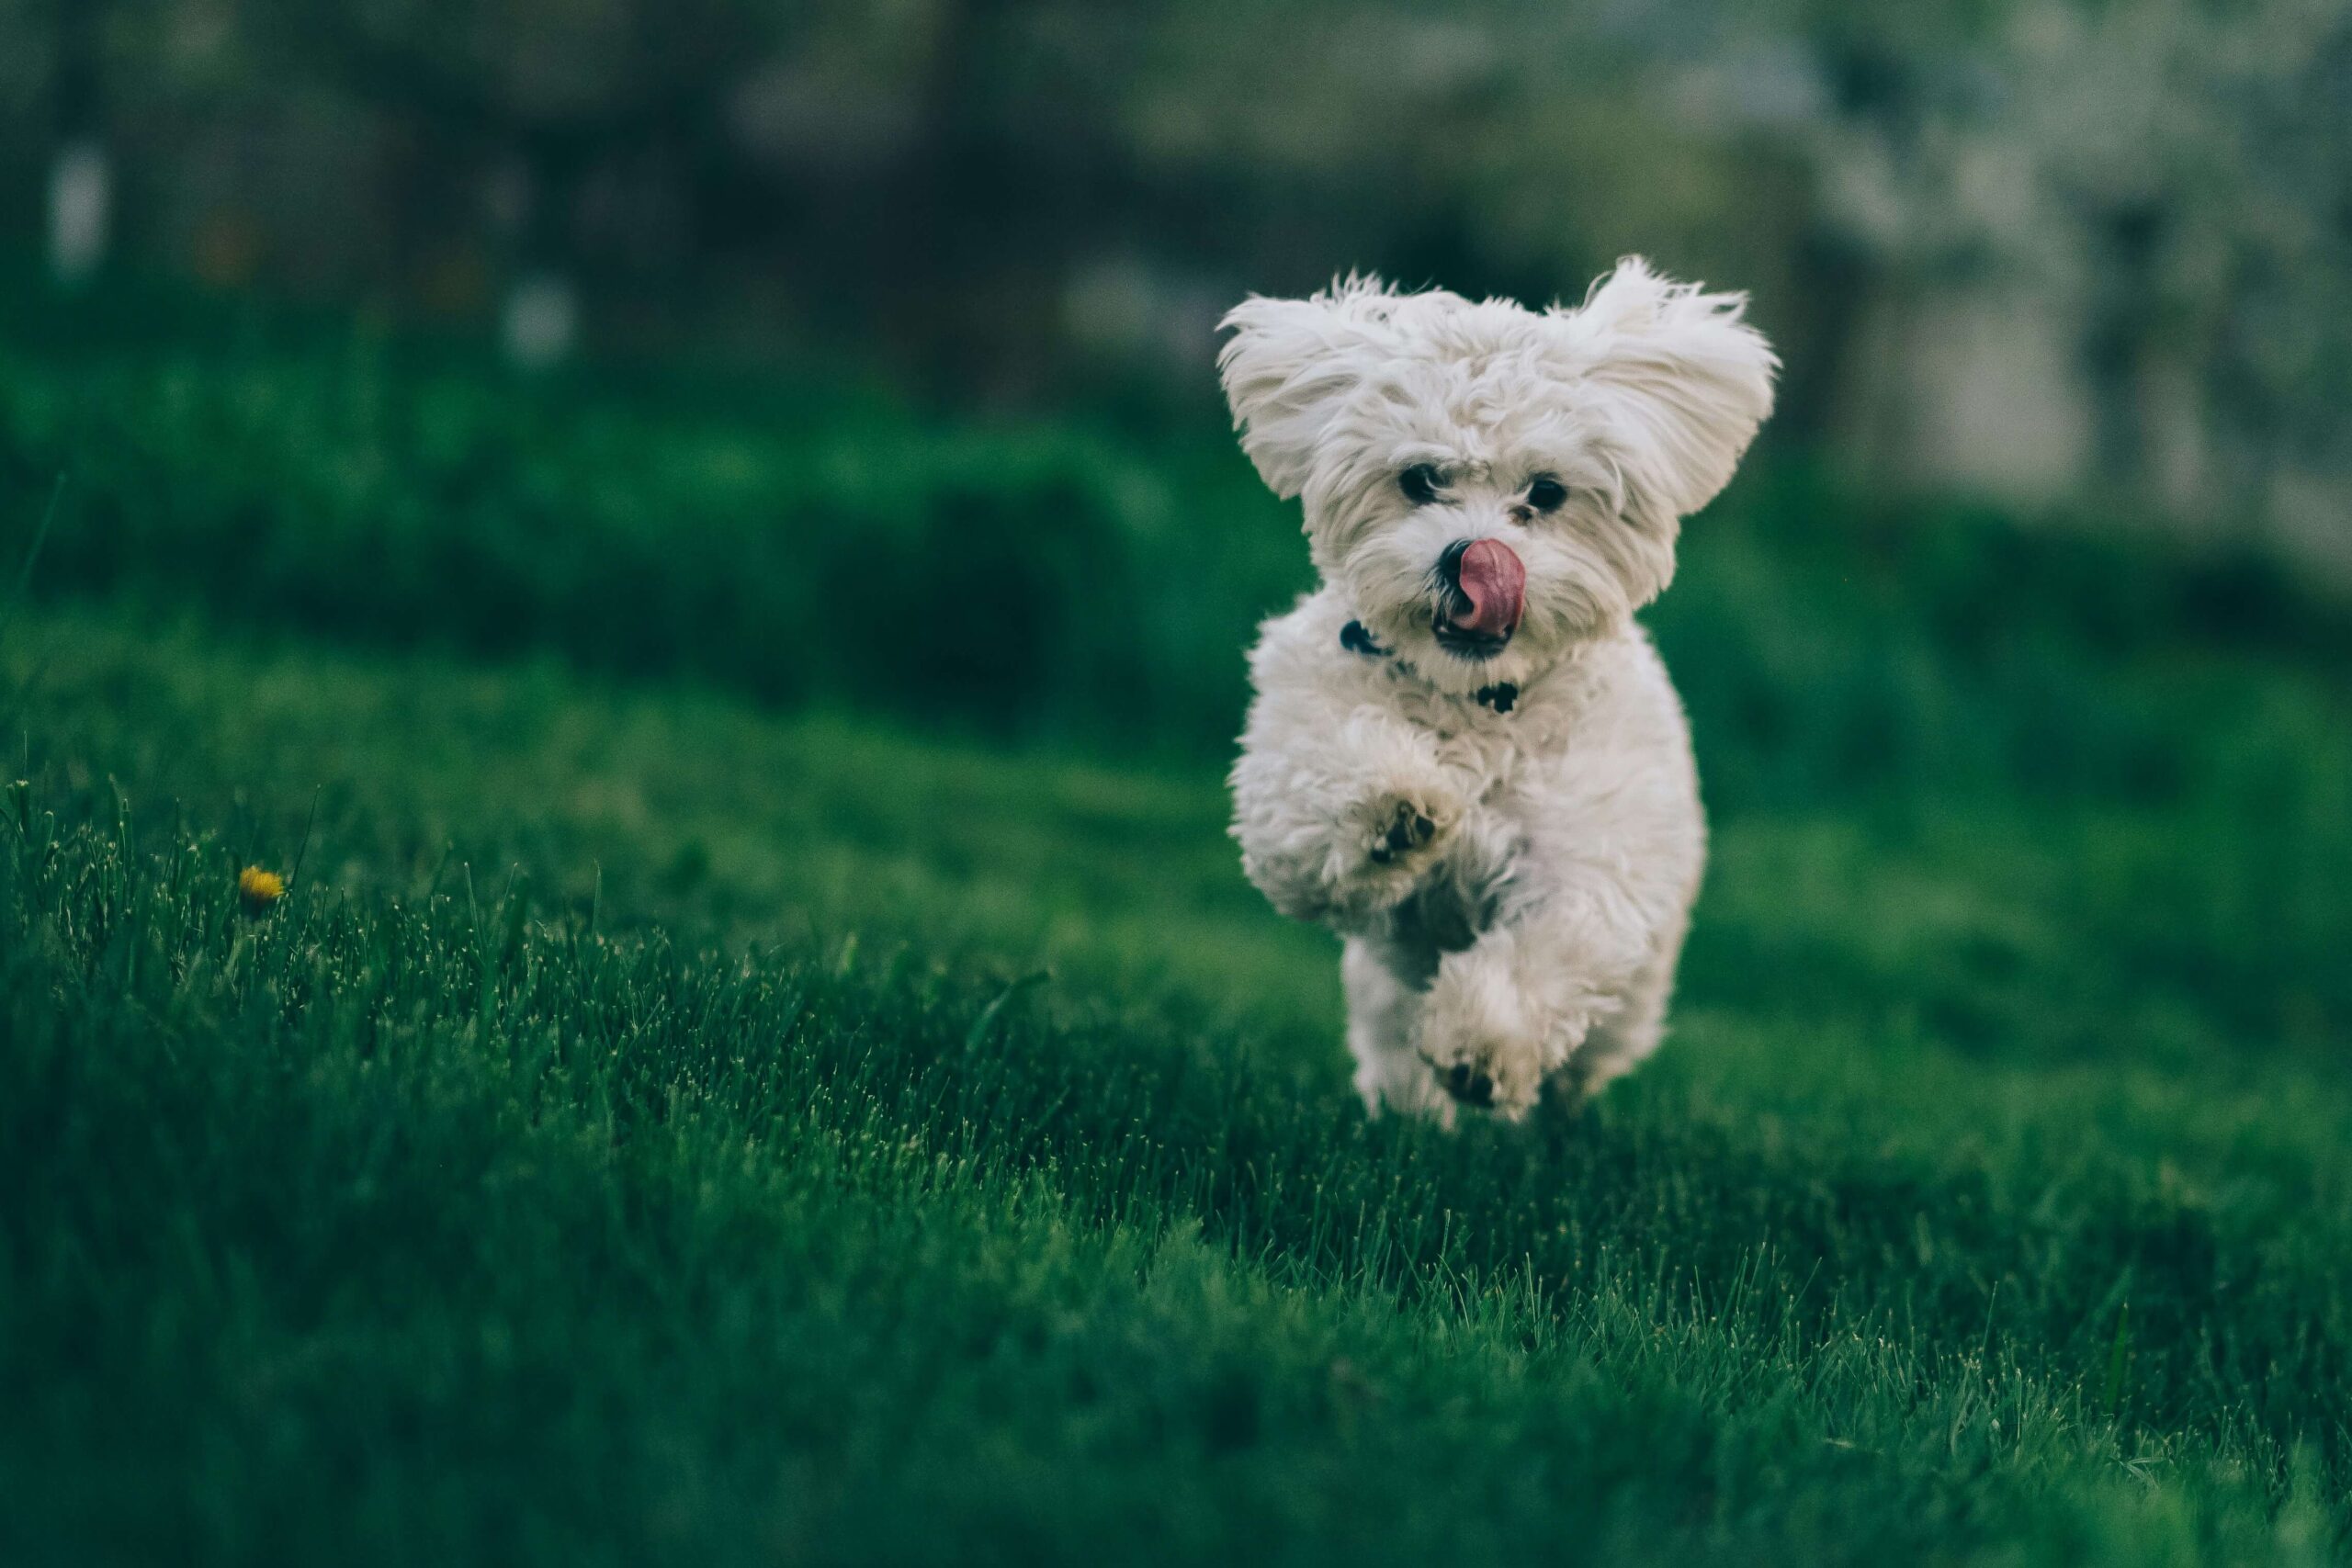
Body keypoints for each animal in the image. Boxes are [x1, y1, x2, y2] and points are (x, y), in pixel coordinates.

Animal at [1223, 257, 1769, 1123]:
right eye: (1420, 480)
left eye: (1545, 494)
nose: (1471, 558)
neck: (1477, 700)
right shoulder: (1288, 773)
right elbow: (1318, 797)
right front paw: (1398, 807)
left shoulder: (1588, 864)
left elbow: (1545, 952)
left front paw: (1481, 1047)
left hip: (1628, 1008)